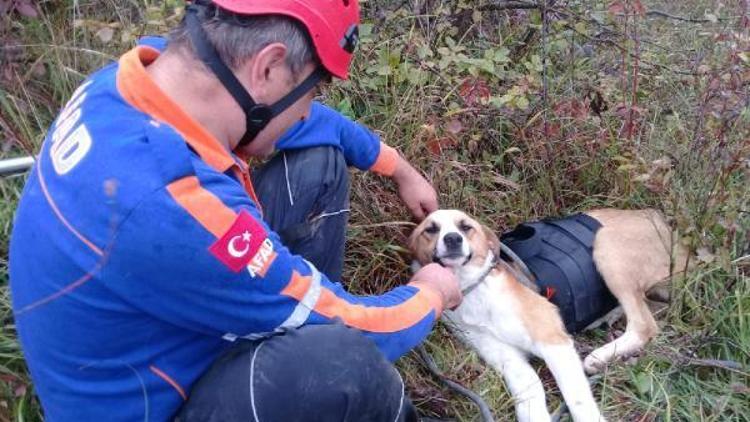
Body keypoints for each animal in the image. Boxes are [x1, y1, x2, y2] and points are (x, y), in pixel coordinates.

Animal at [412, 209, 692, 422]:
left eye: (466, 227)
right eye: (431, 229)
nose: (452, 239)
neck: (473, 290)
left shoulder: (553, 341)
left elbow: (577, 397)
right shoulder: (504, 356)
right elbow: (530, 389)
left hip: (606, 244)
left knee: (644, 324)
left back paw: (600, 356)